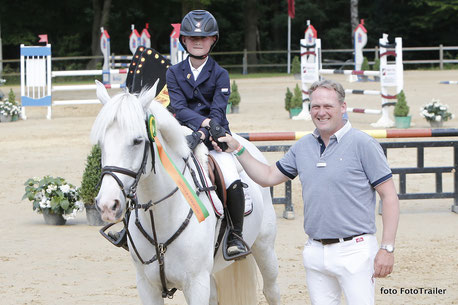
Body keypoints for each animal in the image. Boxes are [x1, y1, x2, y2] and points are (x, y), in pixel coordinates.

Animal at [91, 81, 280, 304]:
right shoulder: (147, 286)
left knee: (271, 290)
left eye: (137, 141)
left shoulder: (196, 284)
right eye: (101, 143)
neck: (161, 218)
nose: (107, 205)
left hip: (265, 247)